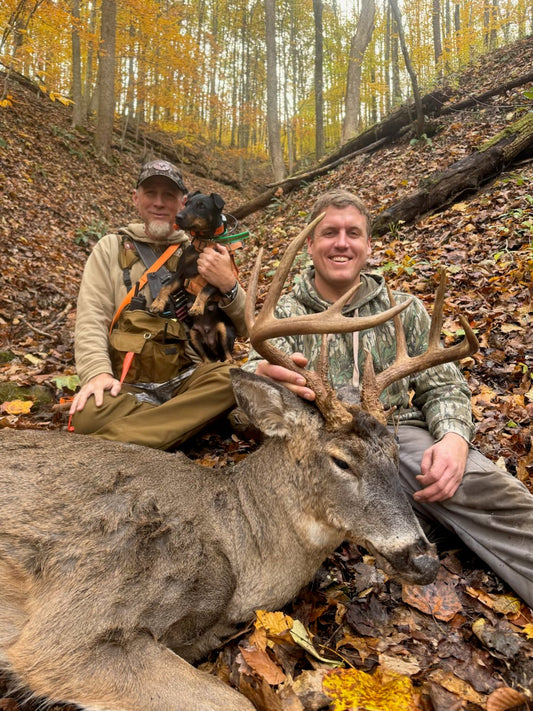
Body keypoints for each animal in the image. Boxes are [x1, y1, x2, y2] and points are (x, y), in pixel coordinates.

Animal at [0, 214, 478, 711]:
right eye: (341, 461)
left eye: (393, 450)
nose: (423, 558)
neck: (236, 549)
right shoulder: (78, 621)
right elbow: (235, 701)